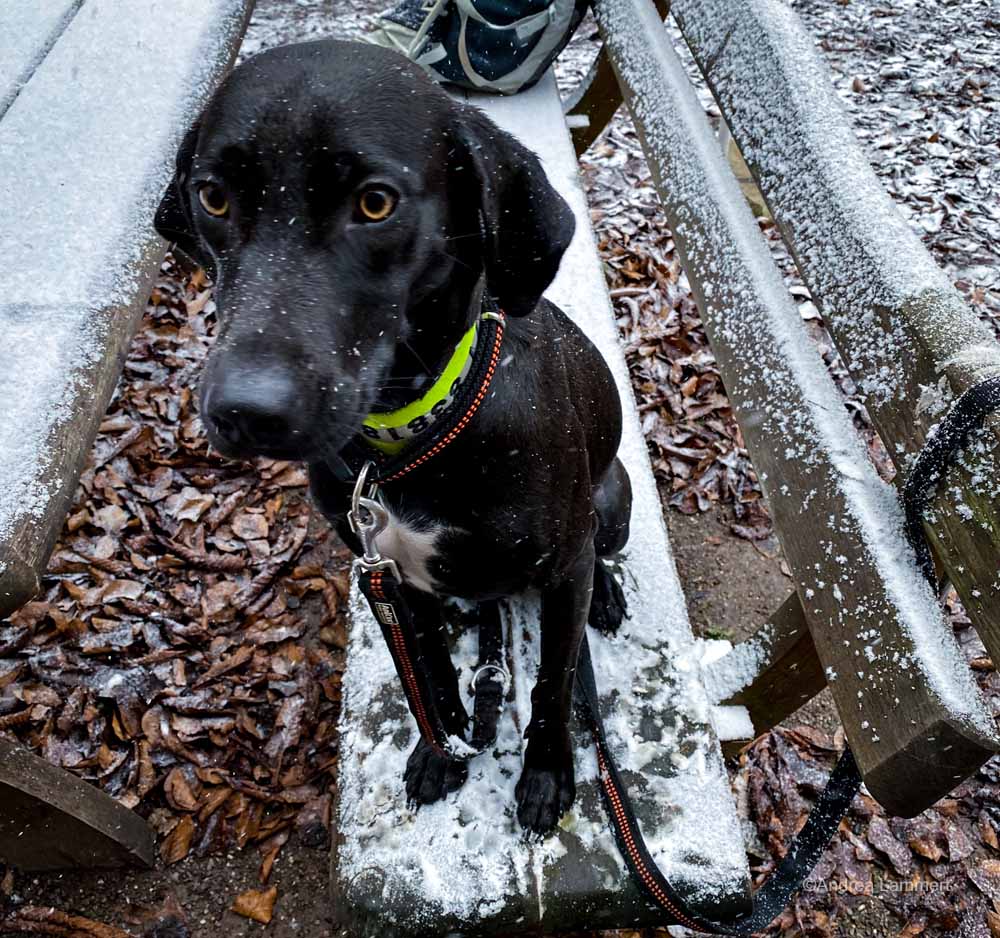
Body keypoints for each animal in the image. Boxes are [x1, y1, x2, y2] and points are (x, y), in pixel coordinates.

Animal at [153, 38, 628, 832]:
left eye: (375, 203)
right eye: (213, 196)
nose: (246, 410)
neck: (412, 440)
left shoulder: (563, 569)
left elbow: (555, 685)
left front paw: (545, 774)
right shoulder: (387, 572)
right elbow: (428, 669)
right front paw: (442, 749)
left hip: (611, 500)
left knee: (603, 553)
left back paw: (609, 596)